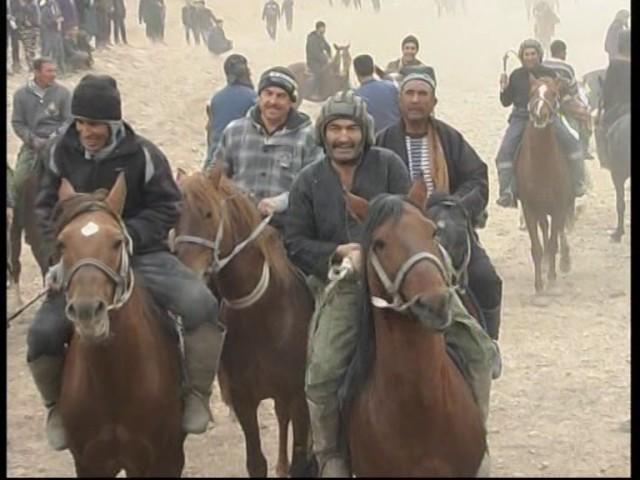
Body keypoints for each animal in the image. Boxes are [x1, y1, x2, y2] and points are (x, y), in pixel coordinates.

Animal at [174, 167, 316, 478]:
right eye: (173, 217)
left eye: (208, 214)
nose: (188, 274)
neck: (263, 315)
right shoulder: (244, 400)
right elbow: (256, 463)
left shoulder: (299, 396)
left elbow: (301, 459)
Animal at [516, 76, 572, 292]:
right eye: (532, 92)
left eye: (554, 93)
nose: (540, 115)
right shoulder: (529, 207)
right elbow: (537, 248)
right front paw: (539, 285)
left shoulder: (558, 205)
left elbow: (554, 241)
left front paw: (552, 278)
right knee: (545, 228)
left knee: (560, 231)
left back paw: (564, 261)